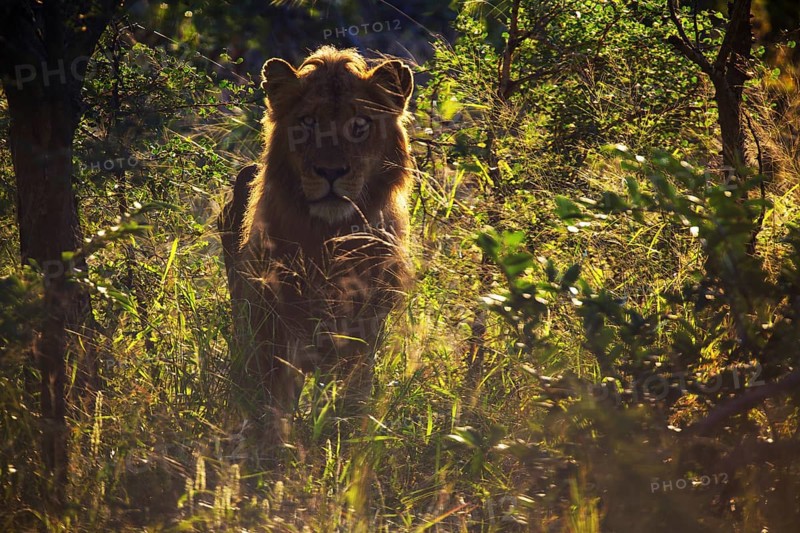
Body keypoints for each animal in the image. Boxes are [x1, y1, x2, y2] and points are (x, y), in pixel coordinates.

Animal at [218, 46, 414, 438]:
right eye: (308, 122)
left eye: (360, 125)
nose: (330, 172)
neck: (329, 237)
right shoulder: (275, 323)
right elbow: (274, 399)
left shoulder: (363, 330)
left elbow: (351, 398)